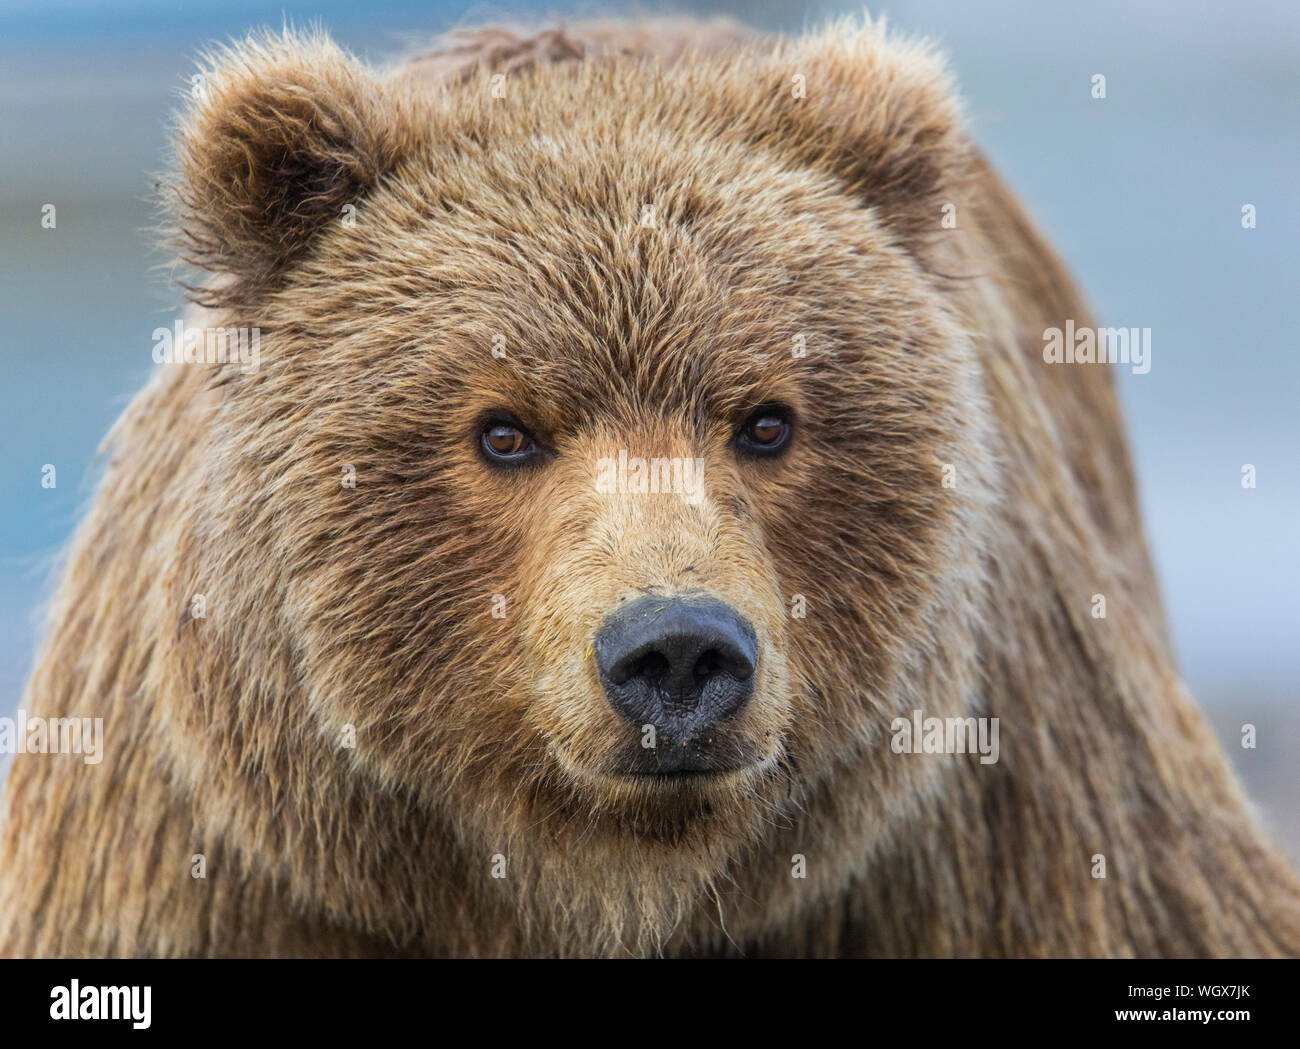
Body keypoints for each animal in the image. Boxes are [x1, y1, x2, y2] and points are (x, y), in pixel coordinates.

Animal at [2, 14, 1300, 961]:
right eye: (504, 430)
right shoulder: (211, 864)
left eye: (767, 421)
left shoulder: (1008, 822)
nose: (674, 647)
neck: (613, 884)